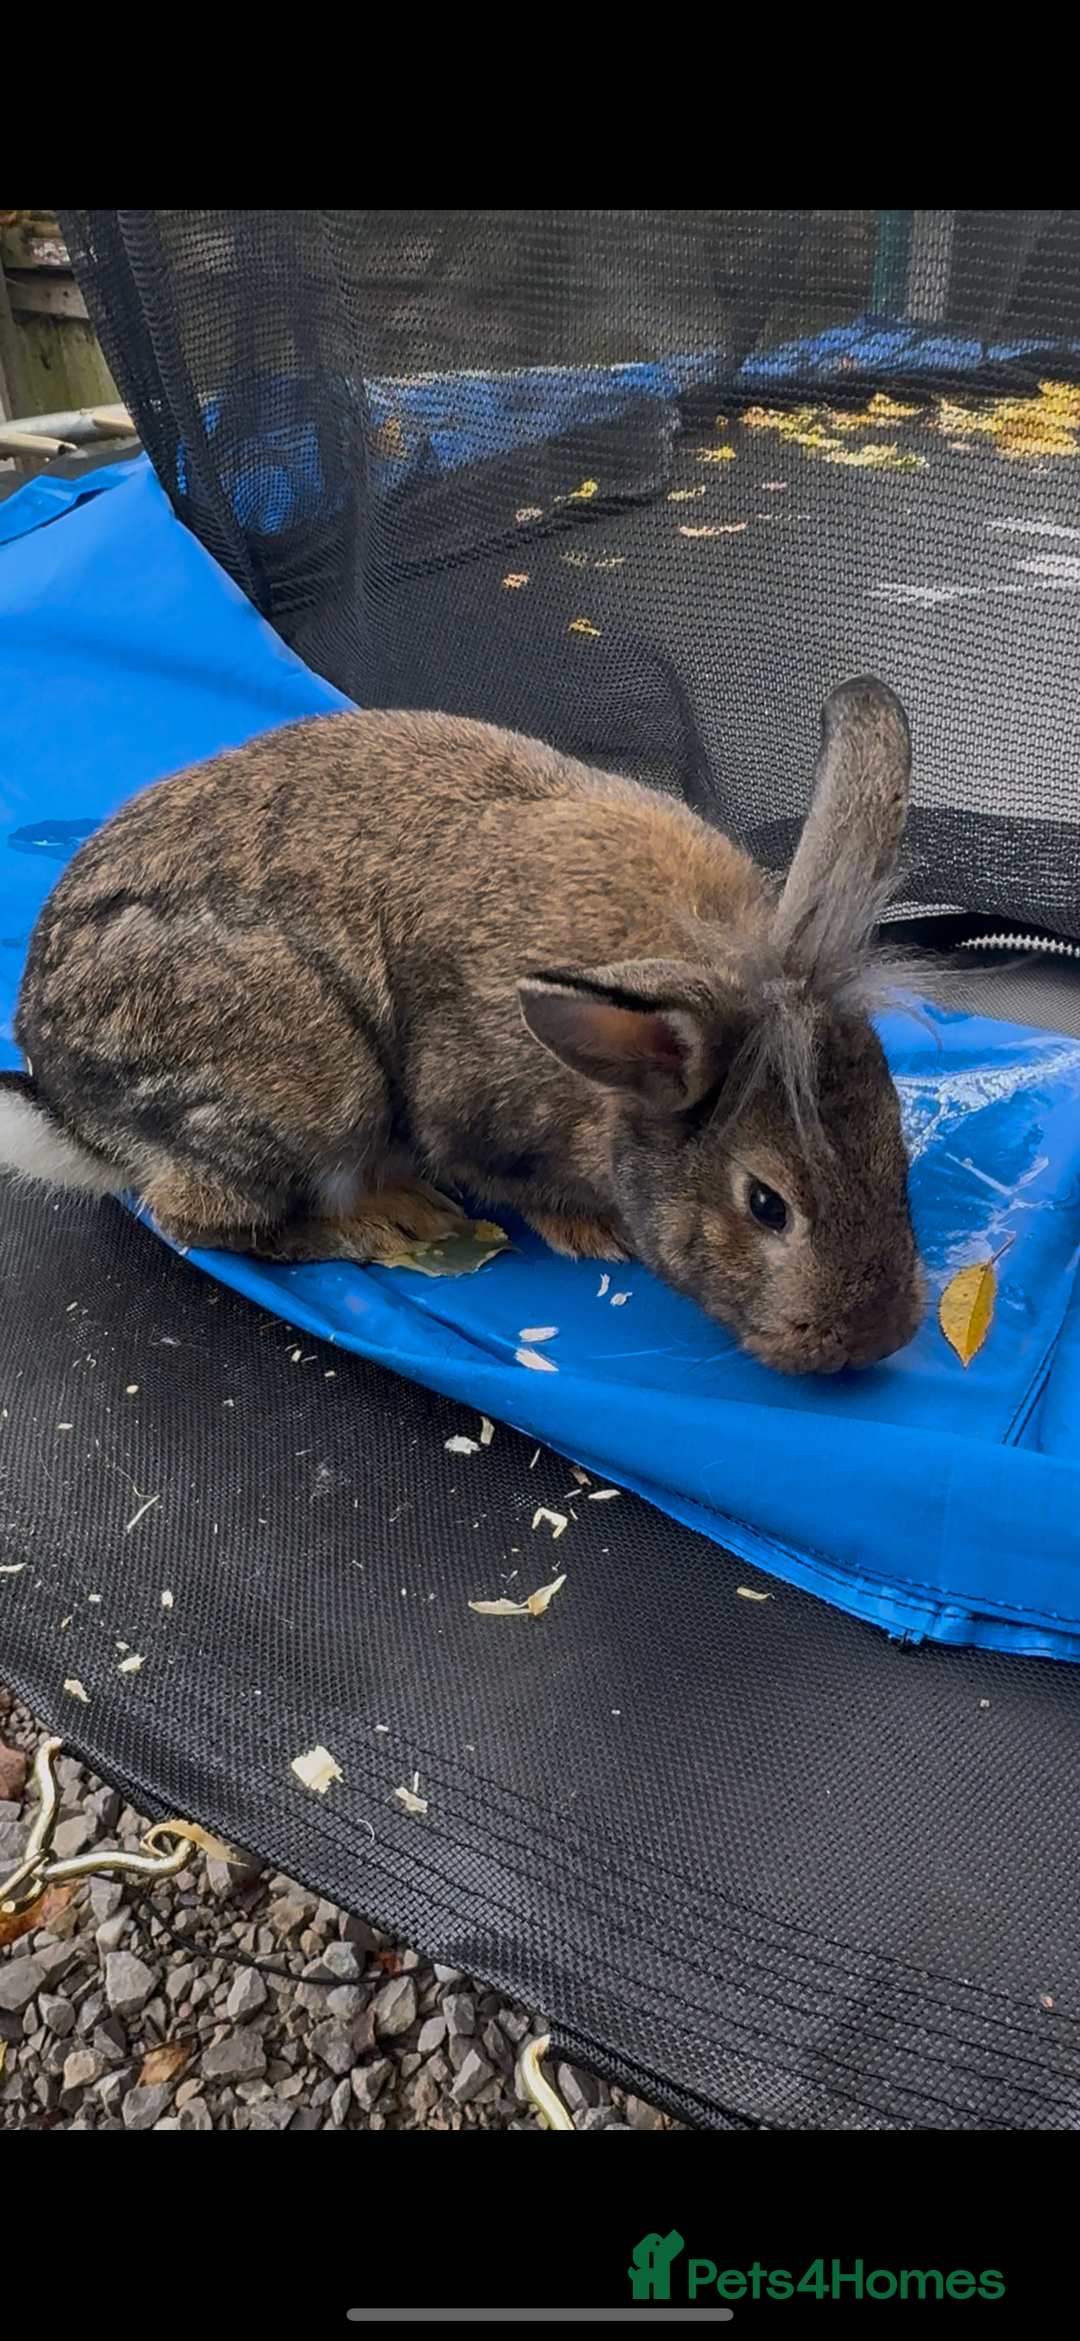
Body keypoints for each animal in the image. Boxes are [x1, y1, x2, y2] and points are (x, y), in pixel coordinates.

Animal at [0, 676, 927, 1375]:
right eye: (767, 1205)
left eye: (898, 1145)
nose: (874, 1339)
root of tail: (68, 1108)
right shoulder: (465, 1107)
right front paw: (591, 1233)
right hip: (313, 1084)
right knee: (194, 1216)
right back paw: (388, 1224)